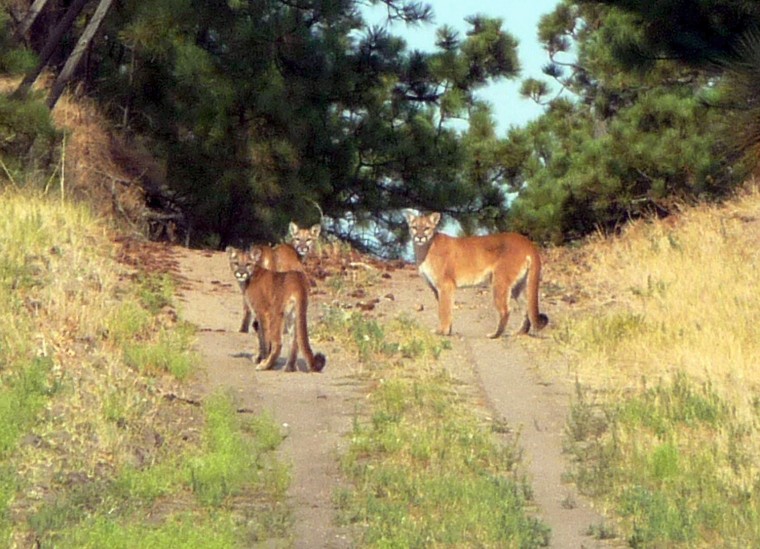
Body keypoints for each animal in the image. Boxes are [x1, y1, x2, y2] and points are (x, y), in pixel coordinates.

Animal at [404, 211, 548, 336]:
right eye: (414, 227)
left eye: (426, 228)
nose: (420, 237)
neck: (424, 249)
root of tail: (526, 242)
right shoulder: (436, 288)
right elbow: (445, 308)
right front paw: (447, 330)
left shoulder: (445, 285)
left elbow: (443, 309)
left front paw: (442, 331)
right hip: (517, 287)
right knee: (526, 308)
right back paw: (519, 332)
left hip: (499, 281)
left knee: (505, 310)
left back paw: (494, 335)